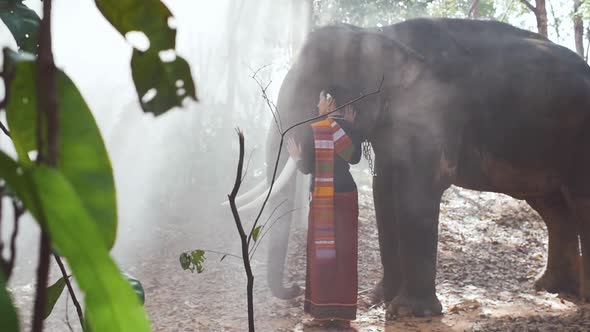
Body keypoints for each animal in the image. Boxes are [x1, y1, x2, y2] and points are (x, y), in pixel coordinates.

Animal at [236, 16, 590, 318]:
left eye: (322, 88)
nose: (295, 288)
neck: (378, 33)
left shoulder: (431, 110)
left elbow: (417, 190)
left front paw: (408, 311)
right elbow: (383, 190)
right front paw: (379, 298)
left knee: (576, 202)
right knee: (554, 208)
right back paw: (553, 288)